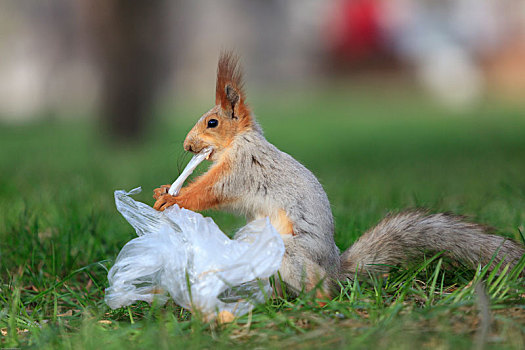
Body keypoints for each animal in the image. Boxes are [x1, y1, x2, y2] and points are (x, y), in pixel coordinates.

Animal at [154, 52, 524, 298]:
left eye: (212, 122)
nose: (187, 146)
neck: (240, 141)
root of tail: (335, 270)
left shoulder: (242, 169)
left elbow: (211, 190)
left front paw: (174, 198)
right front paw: (164, 189)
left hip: (292, 256)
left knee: (322, 289)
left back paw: (312, 303)